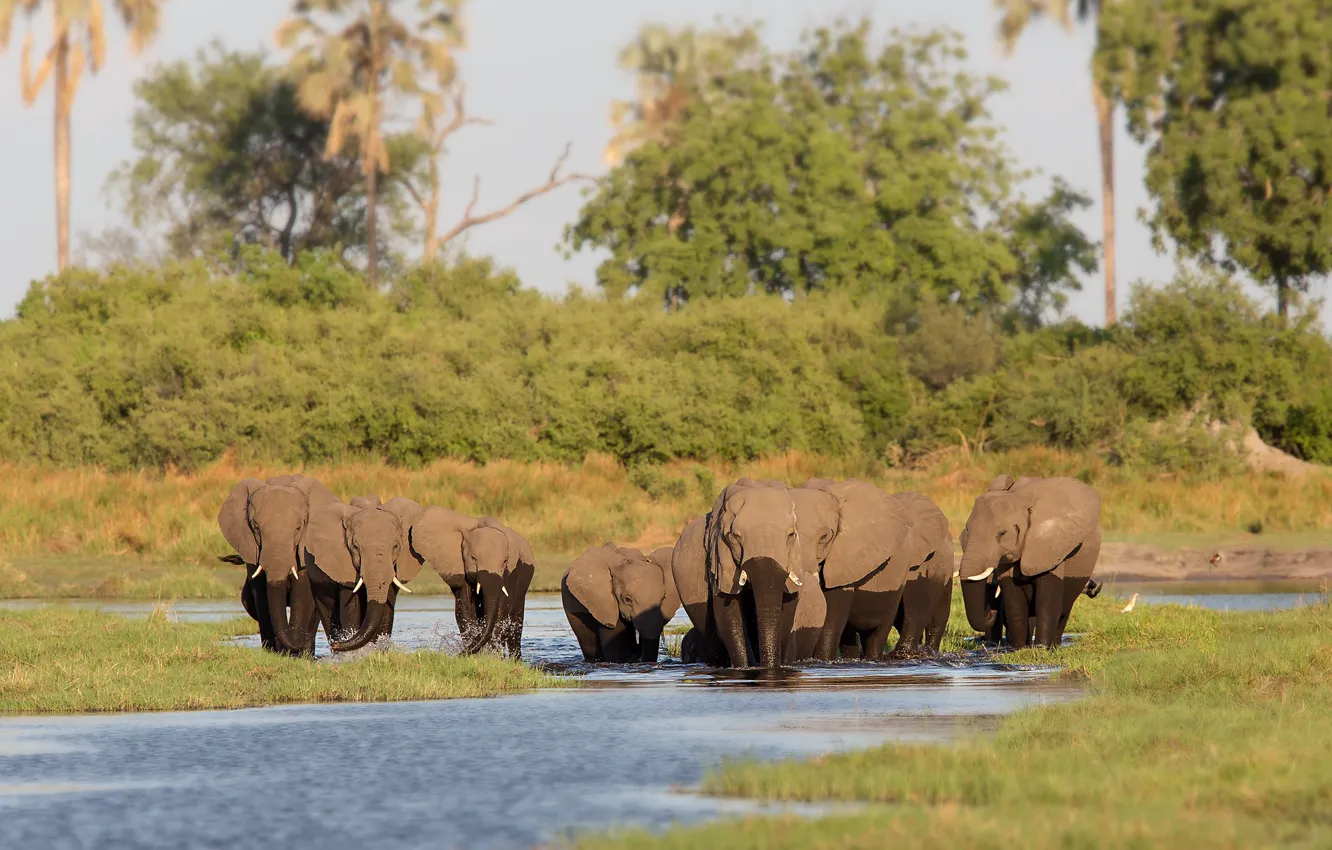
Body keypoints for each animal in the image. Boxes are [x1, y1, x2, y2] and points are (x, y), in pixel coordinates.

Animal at [217, 474, 339, 656]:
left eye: (298, 528)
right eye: (256, 527)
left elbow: (302, 593)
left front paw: (295, 655)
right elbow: (262, 595)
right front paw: (274, 652)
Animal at [302, 496, 425, 652]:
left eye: (396, 546)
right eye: (355, 547)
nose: (337, 645)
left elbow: (386, 605)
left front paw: (377, 651)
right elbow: (351, 605)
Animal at [410, 507, 535, 658]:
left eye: (505, 561)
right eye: (473, 558)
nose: (456, 655)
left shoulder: (512, 572)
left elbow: (501, 611)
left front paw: (492, 656)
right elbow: (464, 610)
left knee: (515, 624)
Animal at [958, 474, 1102, 649]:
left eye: (1002, 533)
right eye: (966, 531)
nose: (990, 613)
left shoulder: (1051, 547)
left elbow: (1048, 599)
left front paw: (1041, 649)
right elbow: (1013, 599)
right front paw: (1018, 648)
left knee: (1065, 608)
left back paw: (1055, 645)